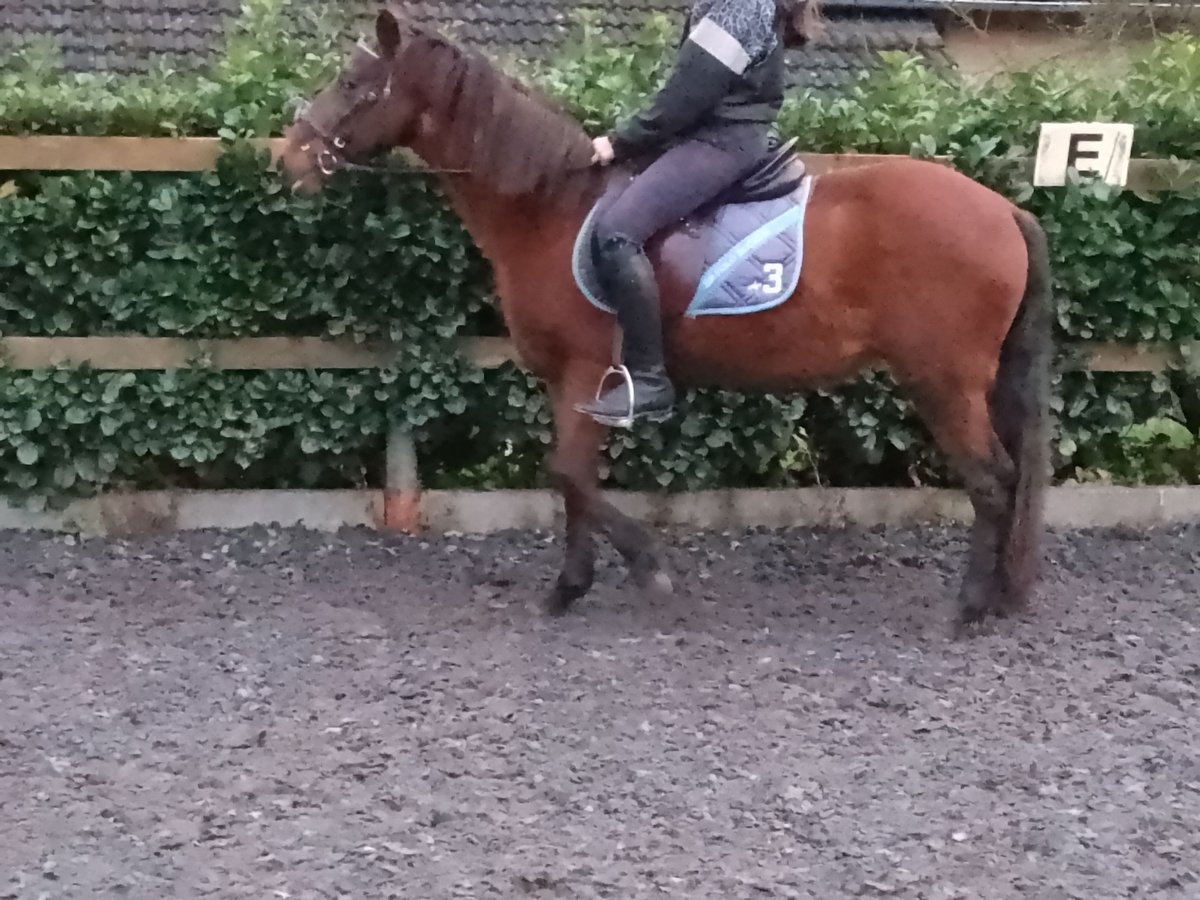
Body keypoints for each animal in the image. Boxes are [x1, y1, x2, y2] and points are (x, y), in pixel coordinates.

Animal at [278, 5, 1051, 633]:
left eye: (355, 83)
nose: (287, 157)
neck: (549, 206)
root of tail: (1003, 209)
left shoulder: (589, 369)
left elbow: (570, 475)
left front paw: (645, 567)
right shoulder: (566, 381)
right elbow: (570, 480)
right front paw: (568, 588)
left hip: (942, 383)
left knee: (991, 481)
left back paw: (970, 609)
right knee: (1008, 478)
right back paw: (995, 599)